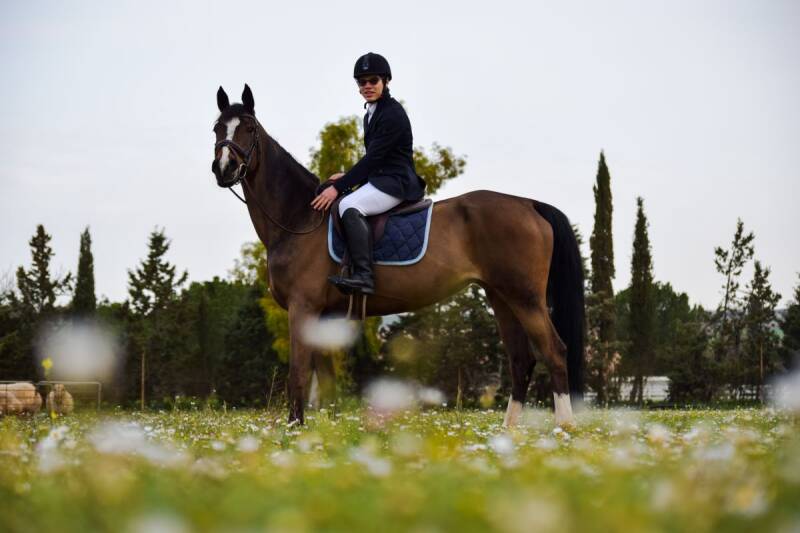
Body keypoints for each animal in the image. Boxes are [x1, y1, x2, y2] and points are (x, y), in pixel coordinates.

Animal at [211, 85, 585, 427]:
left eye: (249, 128)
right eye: (217, 128)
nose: (224, 168)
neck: (298, 217)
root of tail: (528, 204)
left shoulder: (303, 308)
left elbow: (298, 374)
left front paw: (294, 431)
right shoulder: (324, 318)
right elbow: (326, 385)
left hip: (525, 297)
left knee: (555, 352)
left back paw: (563, 429)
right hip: (501, 297)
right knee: (521, 360)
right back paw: (509, 434)